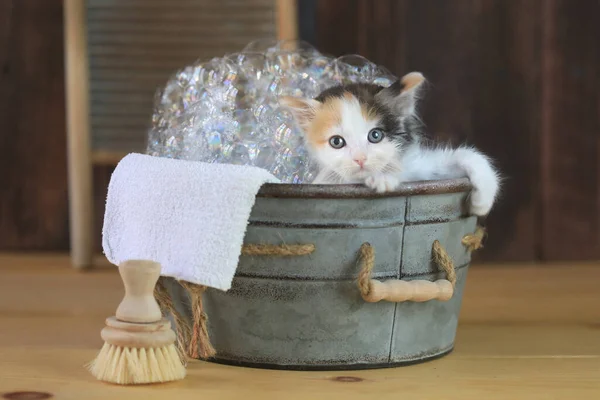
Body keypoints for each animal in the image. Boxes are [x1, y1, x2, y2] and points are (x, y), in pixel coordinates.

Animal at [282, 72, 502, 216]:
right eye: (337, 142)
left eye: (375, 135)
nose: (360, 159)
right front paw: (382, 178)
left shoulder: (420, 169)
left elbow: (464, 156)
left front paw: (483, 199)